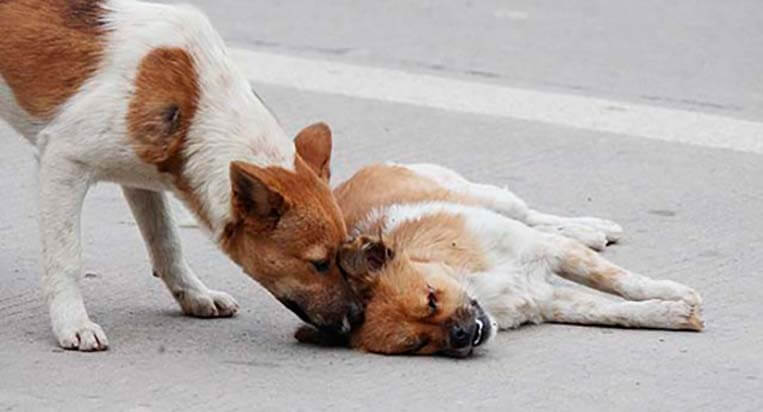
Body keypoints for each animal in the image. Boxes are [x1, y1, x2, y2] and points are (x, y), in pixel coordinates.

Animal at [0, 1, 364, 352]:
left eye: (342, 256)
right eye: (319, 263)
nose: (359, 318)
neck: (195, 107)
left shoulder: (140, 178)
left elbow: (167, 243)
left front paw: (194, 294)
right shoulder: (63, 162)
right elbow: (66, 258)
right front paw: (73, 323)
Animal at [296, 163, 704, 356]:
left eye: (431, 298)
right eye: (418, 344)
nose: (461, 336)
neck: (476, 281)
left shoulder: (551, 253)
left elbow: (624, 282)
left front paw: (673, 293)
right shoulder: (548, 300)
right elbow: (615, 312)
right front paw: (671, 314)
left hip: (489, 197)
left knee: (531, 214)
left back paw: (592, 228)